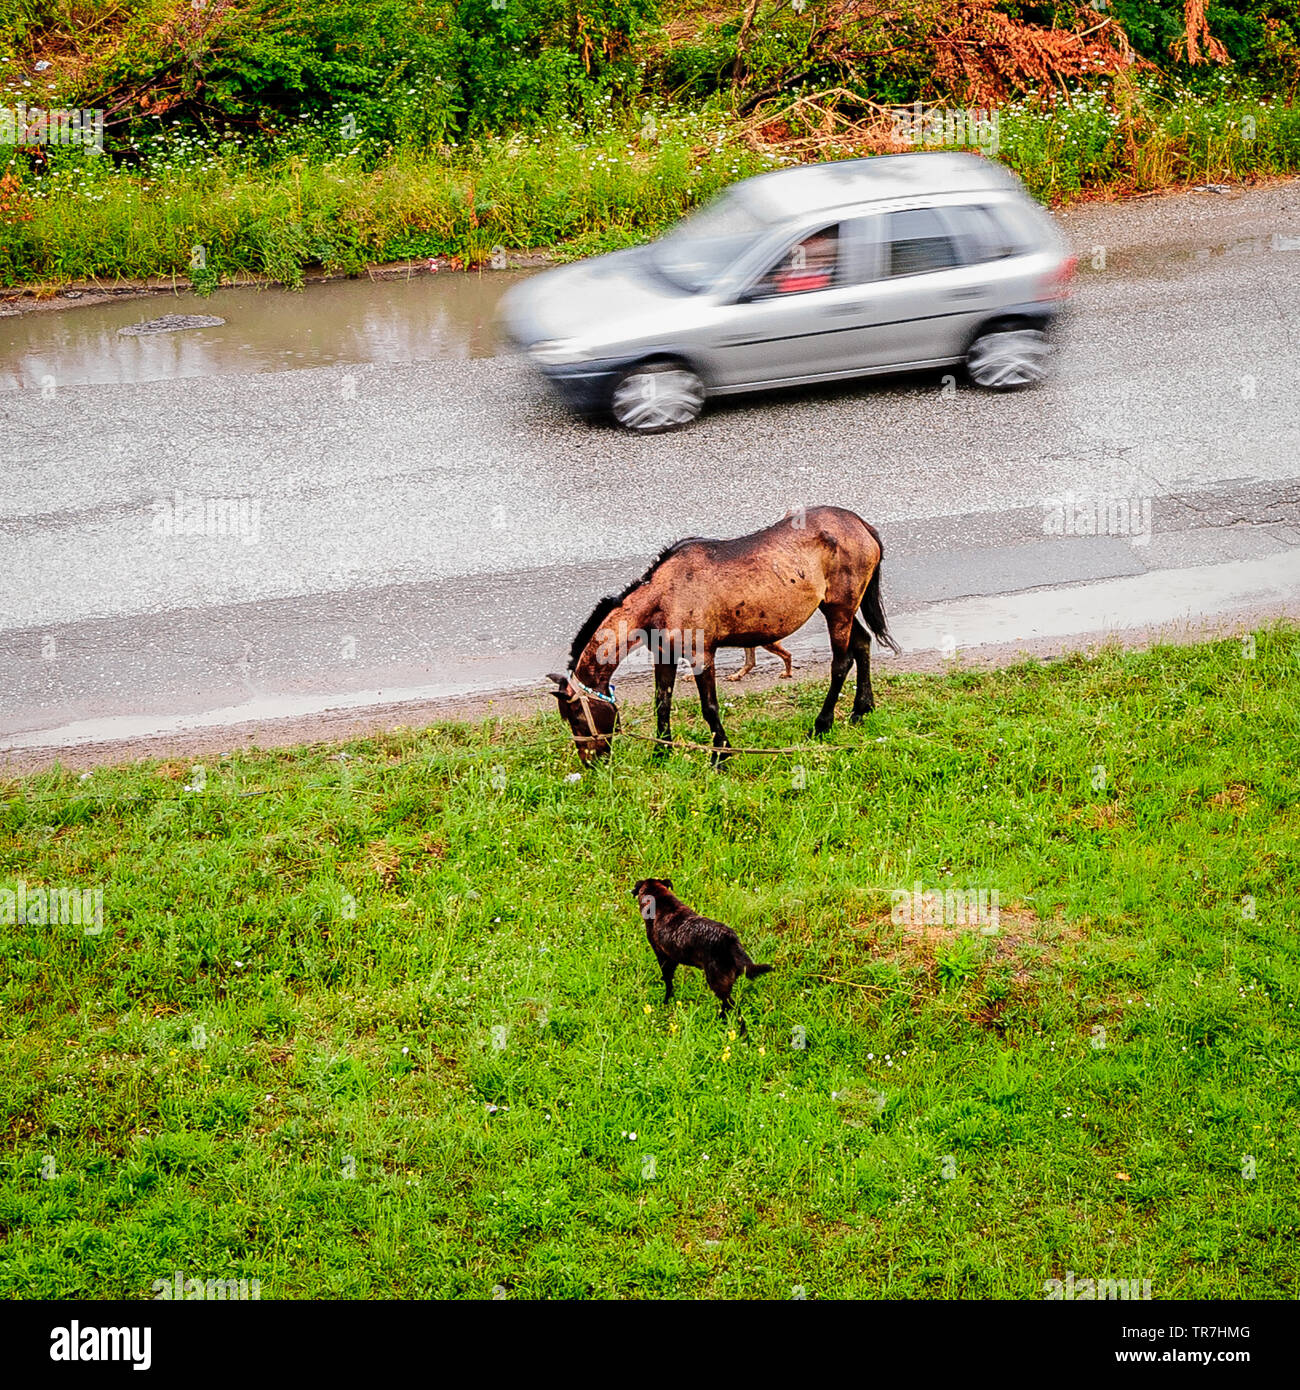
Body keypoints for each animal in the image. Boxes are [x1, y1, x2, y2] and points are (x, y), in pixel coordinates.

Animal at [545, 508, 900, 767]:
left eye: (578, 717)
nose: (592, 763)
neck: (665, 595)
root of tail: (862, 526)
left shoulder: (702, 654)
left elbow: (710, 707)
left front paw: (721, 754)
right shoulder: (665, 654)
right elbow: (662, 701)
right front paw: (662, 750)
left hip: (839, 608)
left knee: (841, 662)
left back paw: (823, 723)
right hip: (837, 608)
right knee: (862, 644)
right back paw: (861, 710)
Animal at [634, 872, 773, 1028]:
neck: (660, 900)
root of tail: (730, 941)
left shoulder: (663, 956)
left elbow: (668, 984)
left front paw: (666, 1001)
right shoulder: (673, 959)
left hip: (717, 982)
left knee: (730, 1005)